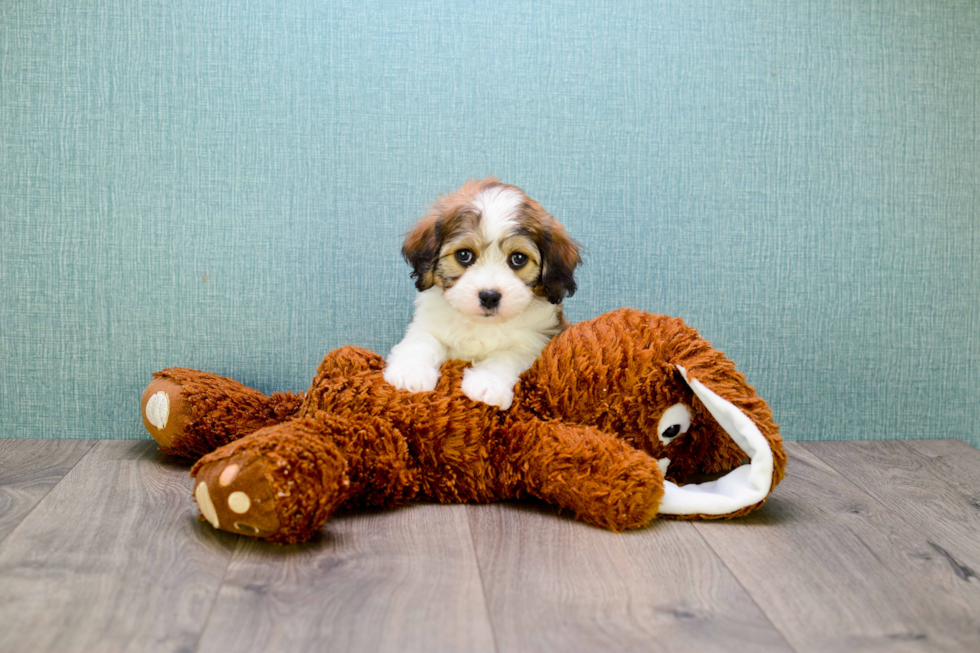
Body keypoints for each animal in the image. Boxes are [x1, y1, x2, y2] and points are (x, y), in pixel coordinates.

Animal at [382, 177, 580, 408]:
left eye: (518, 258)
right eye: (464, 255)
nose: (489, 296)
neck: (481, 325)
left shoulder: (534, 341)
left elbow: (506, 357)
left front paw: (488, 384)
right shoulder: (427, 324)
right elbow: (421, 342)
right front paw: (410, 372)